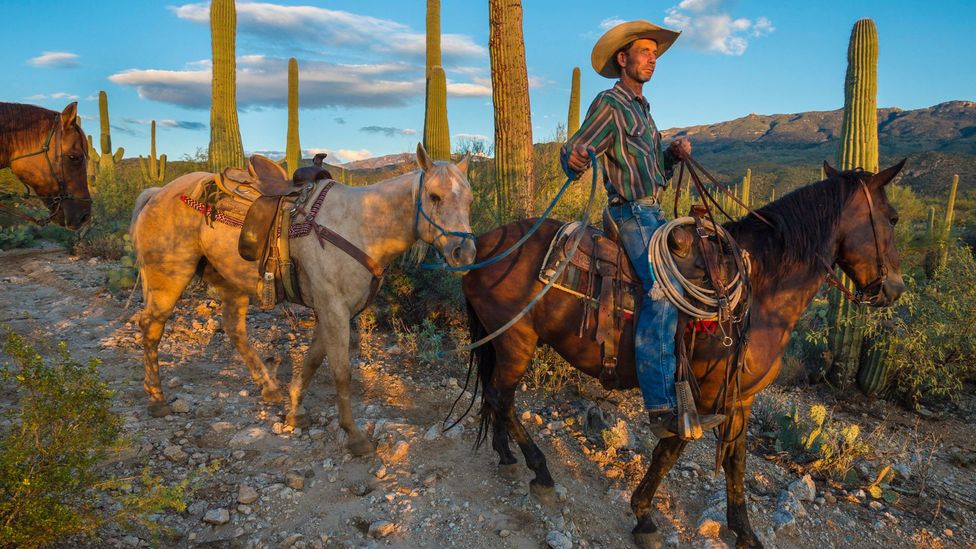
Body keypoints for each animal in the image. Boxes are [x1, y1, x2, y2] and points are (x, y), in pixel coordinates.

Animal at [132, 144, 474, 454]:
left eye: (470, 200)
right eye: (434, 197)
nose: (465, 253)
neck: (362, 226)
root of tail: (159, 192)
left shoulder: (335, 310)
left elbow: (312, 361)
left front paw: (295, 411)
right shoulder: (333, 309)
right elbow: (341, 372)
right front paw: (354, 436)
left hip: (229, 282)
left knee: (233, 330)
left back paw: (269, 387)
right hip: (169, 277)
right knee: (151, 328)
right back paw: (157, 399)